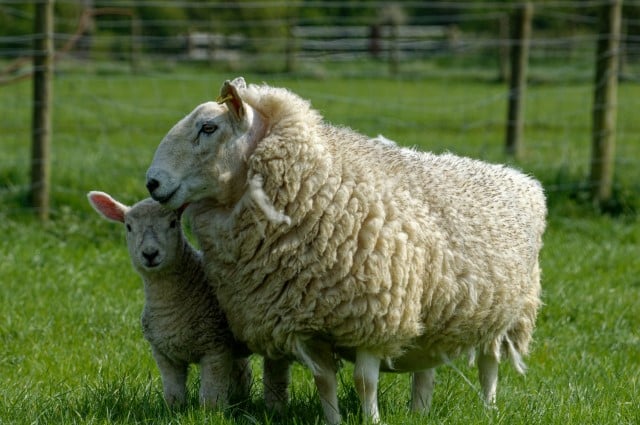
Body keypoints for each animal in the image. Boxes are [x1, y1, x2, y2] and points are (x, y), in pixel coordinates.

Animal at [85, 191, 255, 408]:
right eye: (128, 227)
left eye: (173, 223)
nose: (150, 254)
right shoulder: (164, 355)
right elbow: (173, 393)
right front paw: (174, 408)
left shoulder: (215, 348)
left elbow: (210, 394)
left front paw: (213, 410)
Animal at [145, 78, 544, 422]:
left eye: (208, 128)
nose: (152, 182)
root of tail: (522, 178)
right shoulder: (307, 321)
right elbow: (324, 381)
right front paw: (333, 419)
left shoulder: (374, 315)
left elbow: (364, 382)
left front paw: (372, 419)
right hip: (434, 312)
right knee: (427, 370)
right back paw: (420, 411)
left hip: (507, 312)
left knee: (489, 364)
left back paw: (489, 407)